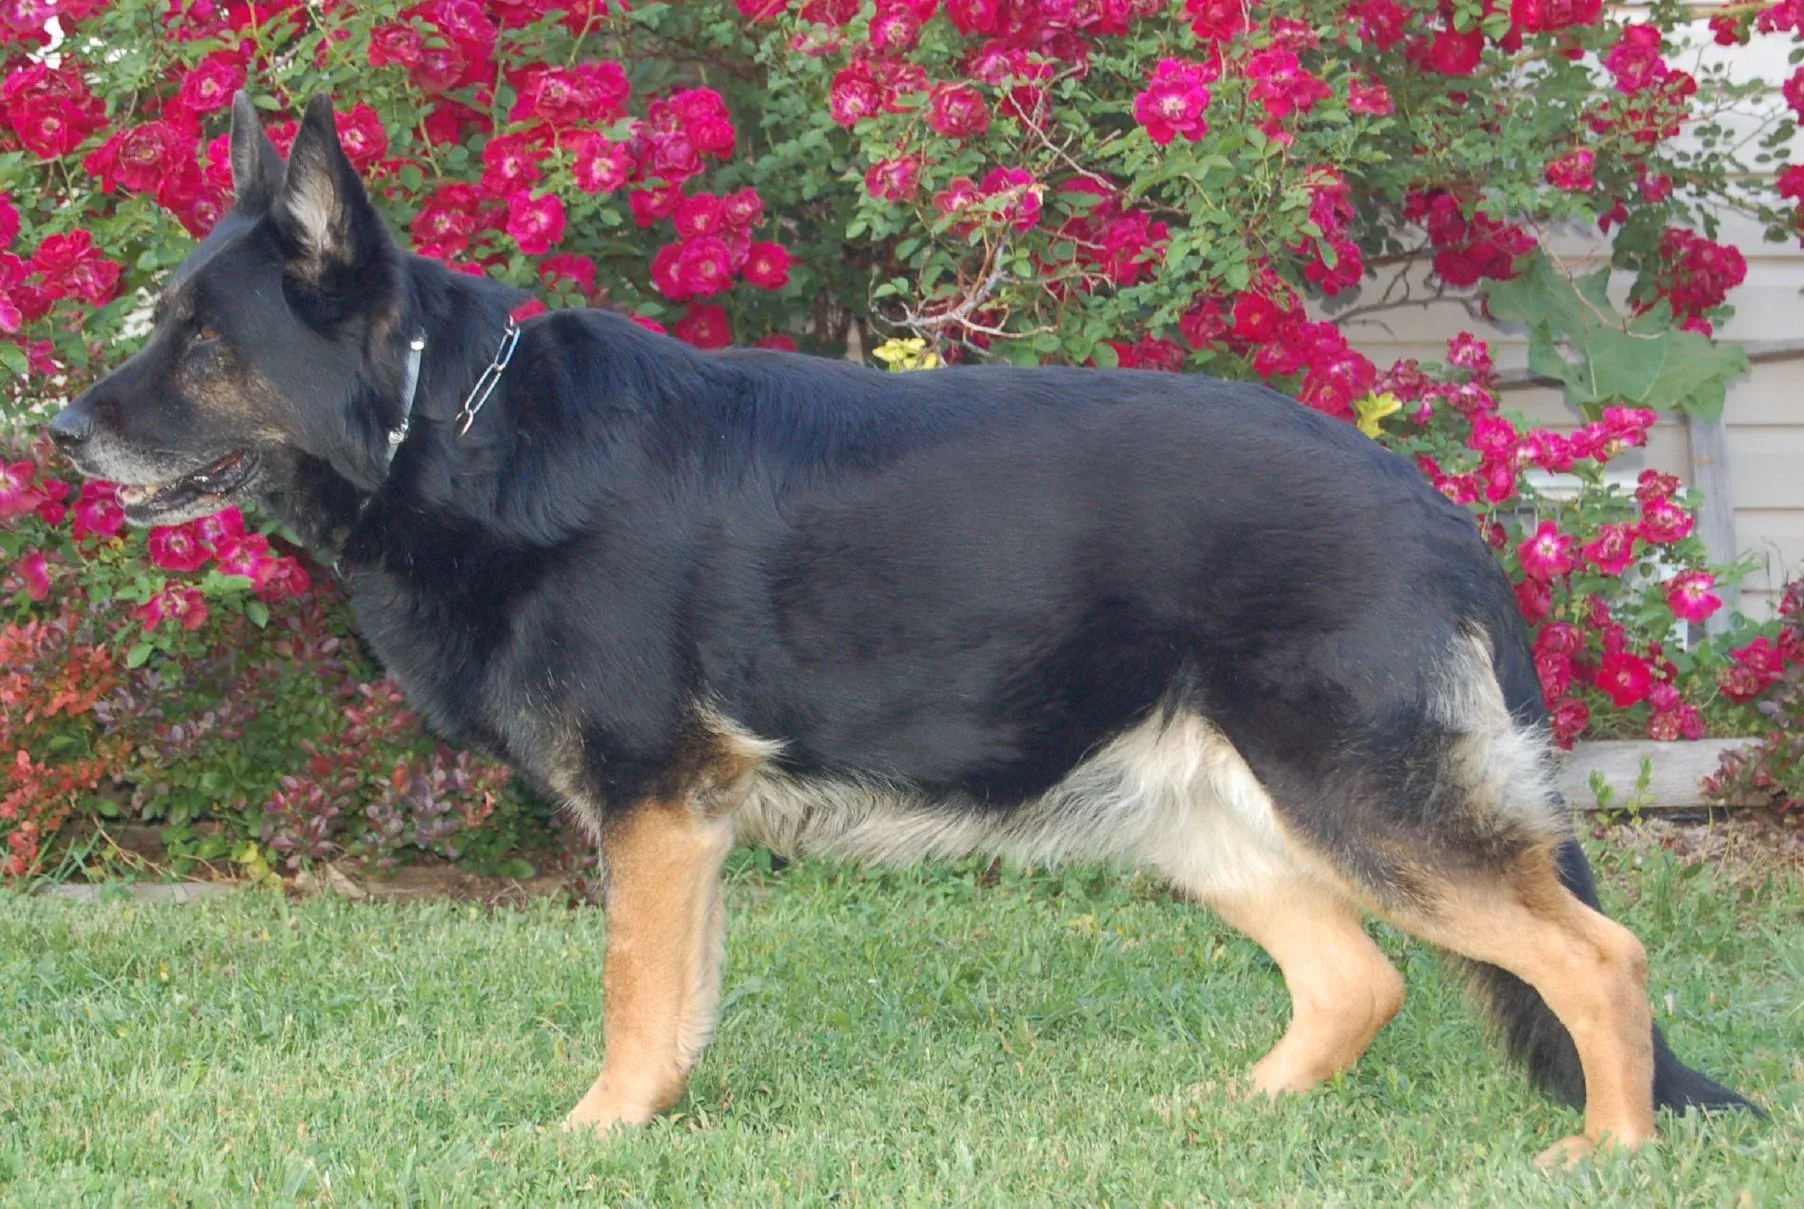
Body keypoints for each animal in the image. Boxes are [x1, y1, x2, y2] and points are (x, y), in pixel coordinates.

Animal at [49, 92, 1753, 1162]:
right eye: (159, 325)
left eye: (198, 346)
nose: (58, 434)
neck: (453, 424)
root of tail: (1432, 502)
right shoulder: (686, 829)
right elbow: (677, 1003)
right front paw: (650, 1128)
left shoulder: (656, 808)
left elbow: (630, 996)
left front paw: (592, 1136)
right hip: (1198, 812)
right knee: (1363, 982)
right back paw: (1233, 1114)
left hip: (1361, 800)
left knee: (1598, 956)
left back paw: (1605, 1152)